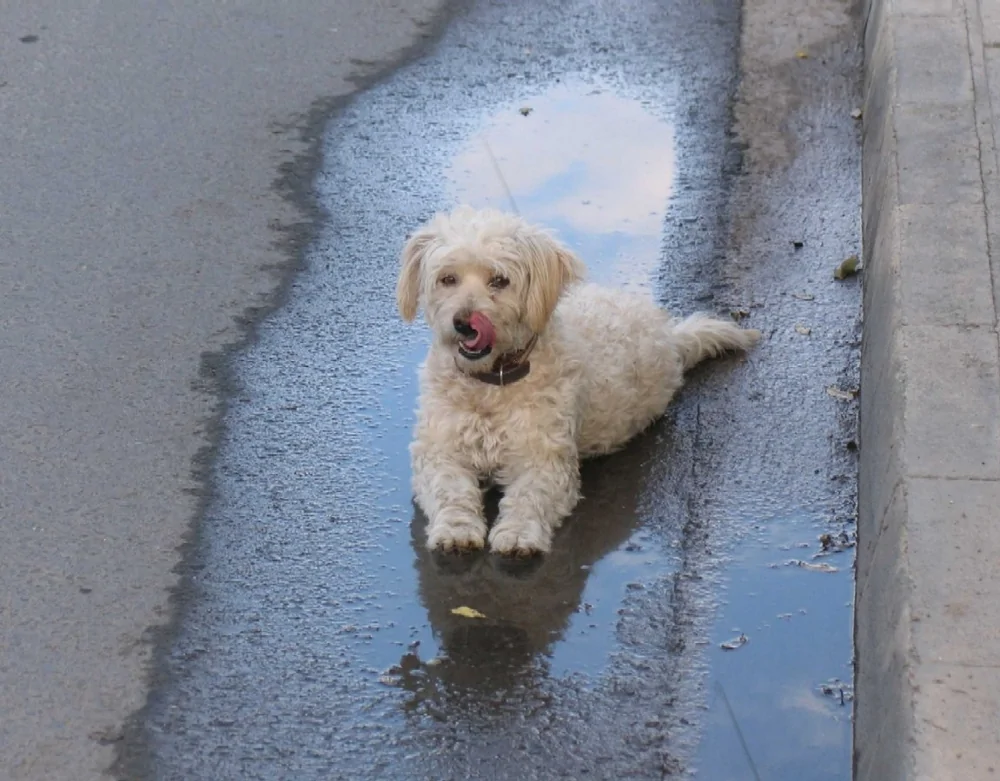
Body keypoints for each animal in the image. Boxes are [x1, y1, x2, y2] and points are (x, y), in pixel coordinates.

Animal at [396, 206, 756, 556]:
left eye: (500, 280)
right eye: (448, 279)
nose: (465, 323)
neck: (489, 383)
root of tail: (671, 337)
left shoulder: (545, 459)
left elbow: (530, 496)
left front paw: (517, 533)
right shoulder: (438, 451)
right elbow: (449, 488)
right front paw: (455, 529)